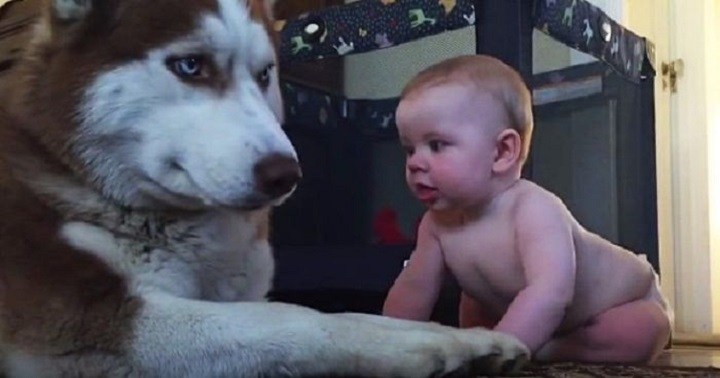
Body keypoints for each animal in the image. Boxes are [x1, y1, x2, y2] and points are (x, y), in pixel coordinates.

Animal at [0, 0, 528, 376]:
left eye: (264, 74)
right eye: (190, 66)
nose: (285, 174)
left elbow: (344, 313)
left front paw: (467, 337)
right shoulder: (82, 320)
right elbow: (299, 319)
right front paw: (424, 344)